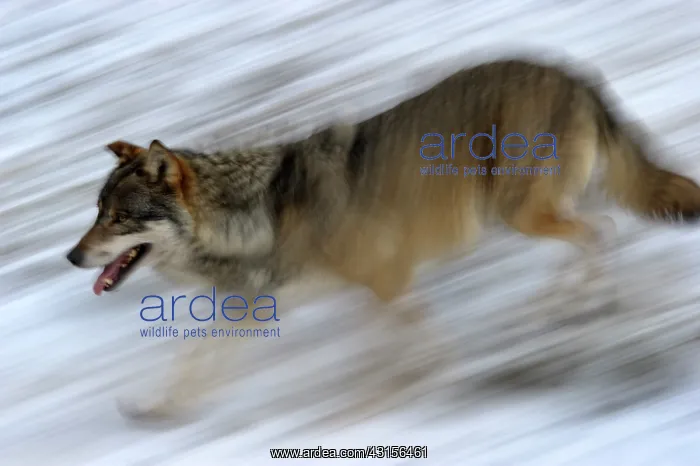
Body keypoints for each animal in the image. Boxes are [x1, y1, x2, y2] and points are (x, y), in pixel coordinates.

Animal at [66, 57, 700, 420]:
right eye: (97, 212)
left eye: (117, 218)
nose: (72, 256)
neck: (251, 218)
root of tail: (577, 76)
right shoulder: (257, 309)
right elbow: (192, 366)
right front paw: (155, 410)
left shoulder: (387, 279)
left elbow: (416, 342)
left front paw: (421, 383)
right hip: (523, 212)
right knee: (595, 236)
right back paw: (555, 306)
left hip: (519, 212)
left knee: (602, 233)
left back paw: (576, 304)